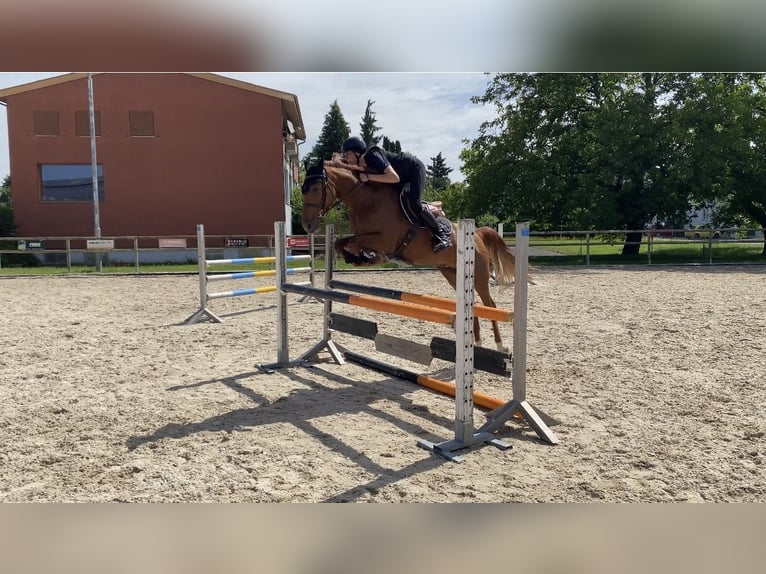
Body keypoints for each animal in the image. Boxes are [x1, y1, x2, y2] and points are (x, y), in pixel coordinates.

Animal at [300, 162, 517, 353]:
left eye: (316, 188)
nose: (307, 225)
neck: (366, 201)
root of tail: (477, 234)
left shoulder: (385, 240)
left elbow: (356, 244)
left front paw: (369, 257)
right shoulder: (362, 236)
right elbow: (340, 243)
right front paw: (359, 258)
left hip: (479, 274)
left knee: (490, 305)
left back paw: (500, 346)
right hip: (453, 274)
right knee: (473, 304)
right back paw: (476, 343)